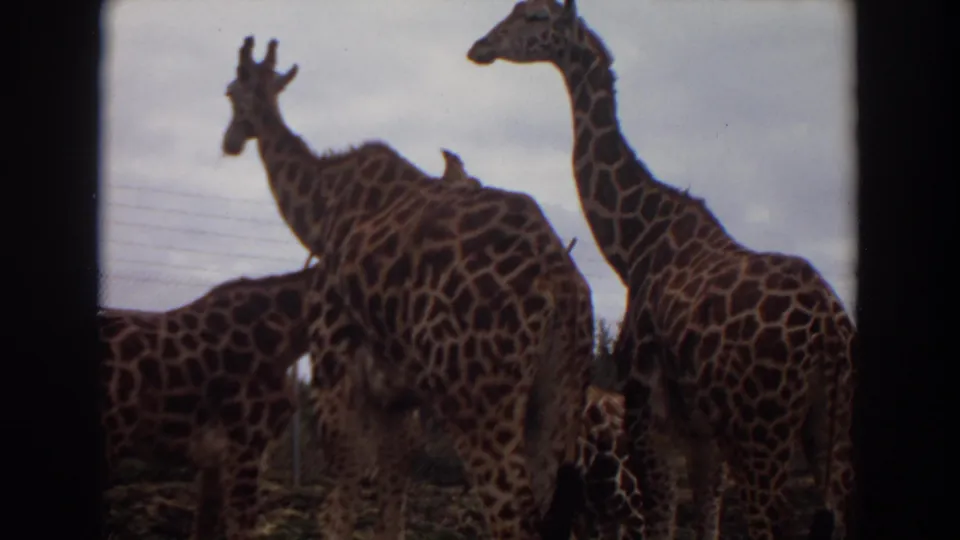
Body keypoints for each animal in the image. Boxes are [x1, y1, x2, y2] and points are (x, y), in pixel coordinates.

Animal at [219, 36, 595, 539]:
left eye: (229, 92)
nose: (230, 141)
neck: (321, 210)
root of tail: (561, 287)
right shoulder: (398, 399)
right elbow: (392, 495)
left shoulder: (333, 370)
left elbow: (341, 499)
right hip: (559, 401)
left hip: (479, 402)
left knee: (514, 516)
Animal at [467, 1, 858, 539]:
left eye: (534, 15)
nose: (480, 46)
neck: (633, 243)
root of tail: (830, 332)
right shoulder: (700, 427)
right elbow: (705, 515)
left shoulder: (645, 406)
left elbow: (662, 515)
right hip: (829, 431)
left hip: (763, 433)